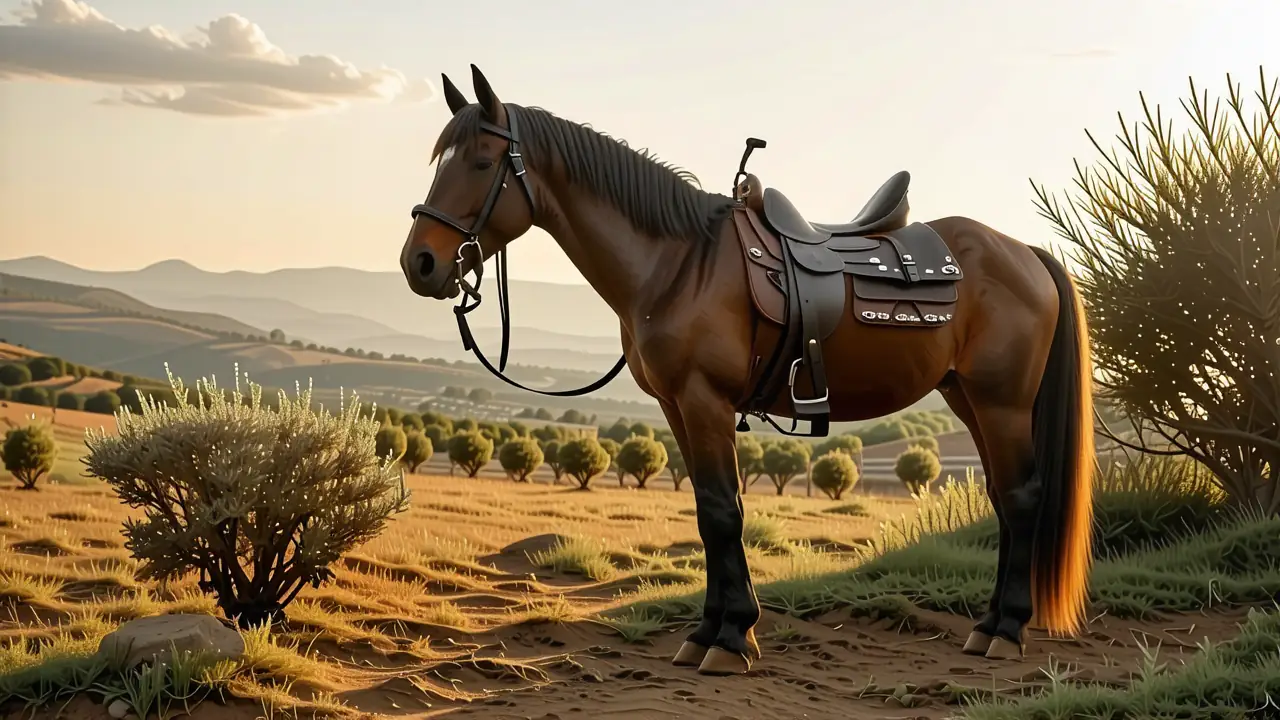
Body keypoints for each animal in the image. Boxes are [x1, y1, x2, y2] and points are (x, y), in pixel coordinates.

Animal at [399, 65, 1096, 676]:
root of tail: (1023, 252)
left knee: (1023, 496)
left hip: (1002, 401)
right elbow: (708, 511)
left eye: (482, 163)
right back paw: (989, 625)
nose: (420, 264)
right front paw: (710, 631)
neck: (679, 263)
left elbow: (722, 512)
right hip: (966, 398)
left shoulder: (705, 401)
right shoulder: (677, 406)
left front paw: (731, 639)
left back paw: (1007, 630)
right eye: (438, 162)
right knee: (1004, 497)